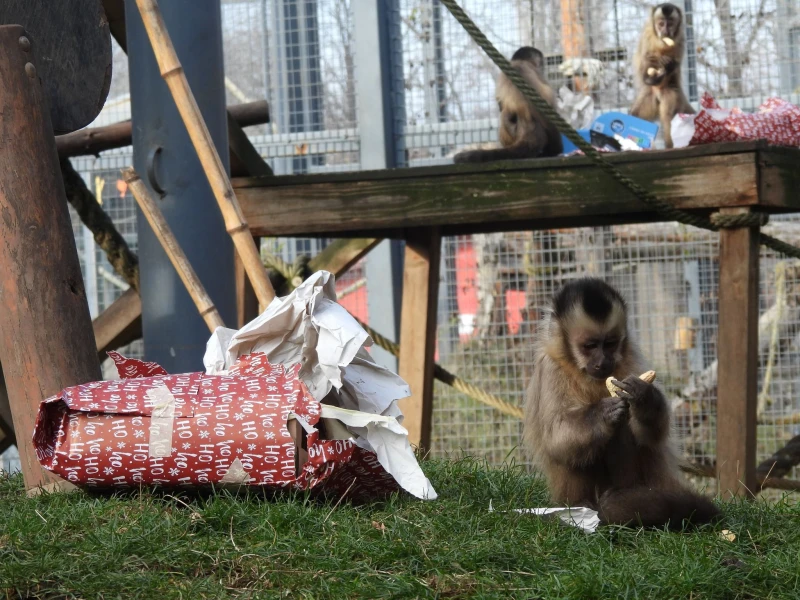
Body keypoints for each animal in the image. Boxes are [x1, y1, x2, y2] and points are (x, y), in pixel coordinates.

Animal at [520, 278, 720, 528]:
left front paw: (644, 398)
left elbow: (650, 436)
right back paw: (585, 505)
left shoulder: (631, 359)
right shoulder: (551, 368)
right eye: (590, 346)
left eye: (610, 344)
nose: (602, 362)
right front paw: (602, 414)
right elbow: (556, 438)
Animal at [632, 3, 692, 149]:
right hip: (649, 95)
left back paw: (671, 145)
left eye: (669, 24)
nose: (665, 31)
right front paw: (650, 76)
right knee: (635, 115)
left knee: (668, 116)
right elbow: (645, 63)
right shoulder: (647, 35)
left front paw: (668, 65)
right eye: (660, 24)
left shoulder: (681, 38)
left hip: (671, 93)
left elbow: (674, 65)